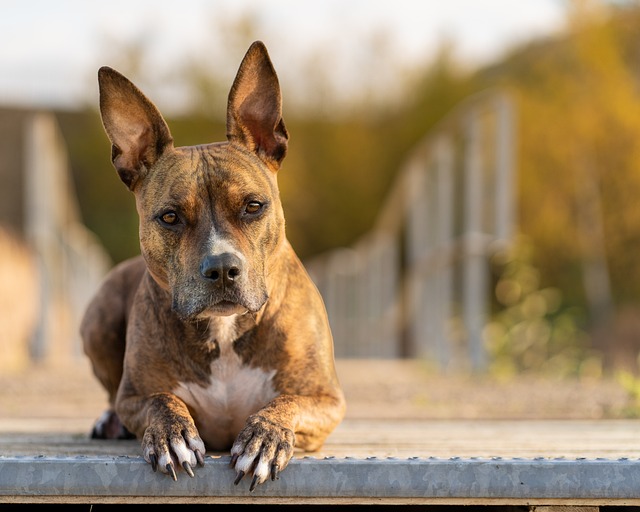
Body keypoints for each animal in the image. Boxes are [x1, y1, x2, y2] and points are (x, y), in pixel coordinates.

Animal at [84, 40, 350, 488]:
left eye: (253, 206)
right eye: (170, 217)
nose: (223, 268)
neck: (224, 330)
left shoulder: (326, 399)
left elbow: (288, 402)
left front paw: (265, 436)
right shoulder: (134, 397)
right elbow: (160, 399)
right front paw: (171, 433)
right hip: (97, 319)